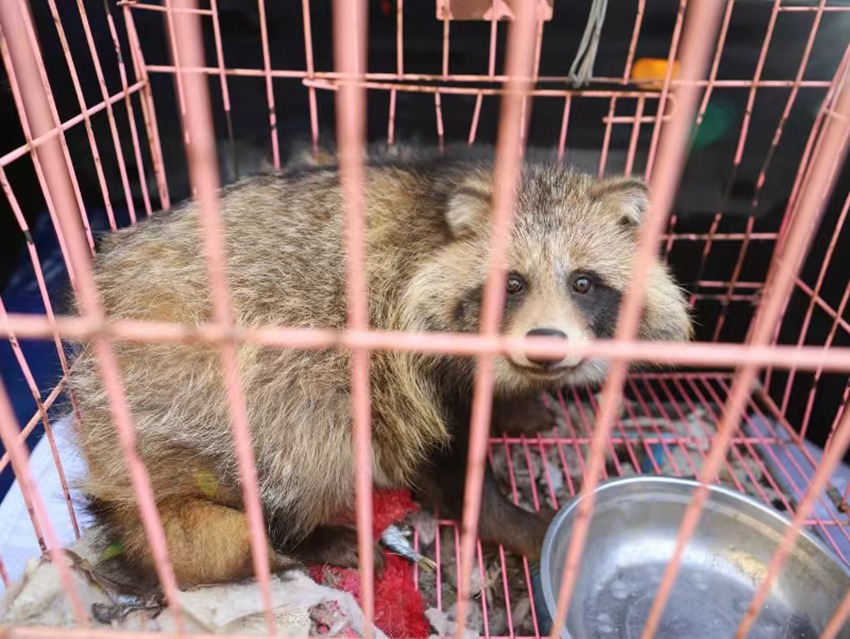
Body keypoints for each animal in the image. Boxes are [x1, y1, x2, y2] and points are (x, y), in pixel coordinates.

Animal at [66, 158, 688, 588]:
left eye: (583, 283)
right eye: (512, 284)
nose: (545, 347)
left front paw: (518, 404)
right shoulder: (407, 368)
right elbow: (446, 458)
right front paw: (506, 521)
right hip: (216, 394)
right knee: (305, 440)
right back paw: (302, 535)